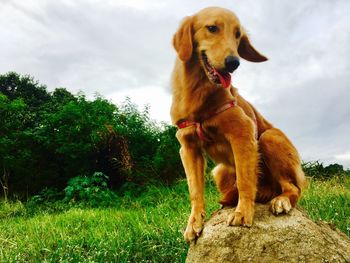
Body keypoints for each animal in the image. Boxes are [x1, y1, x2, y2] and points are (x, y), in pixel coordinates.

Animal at [170, 7, 306, 243]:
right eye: (212, 28)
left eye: (237, 35)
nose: (234, 63)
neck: (199, 93)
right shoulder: (188, 147)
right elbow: (195, 191)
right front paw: (194, 223)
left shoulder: (242, 132)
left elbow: (245, 180)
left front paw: (243, 214)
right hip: (219, 171)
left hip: (268, 138)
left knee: (292, 187)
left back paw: (281, 200)